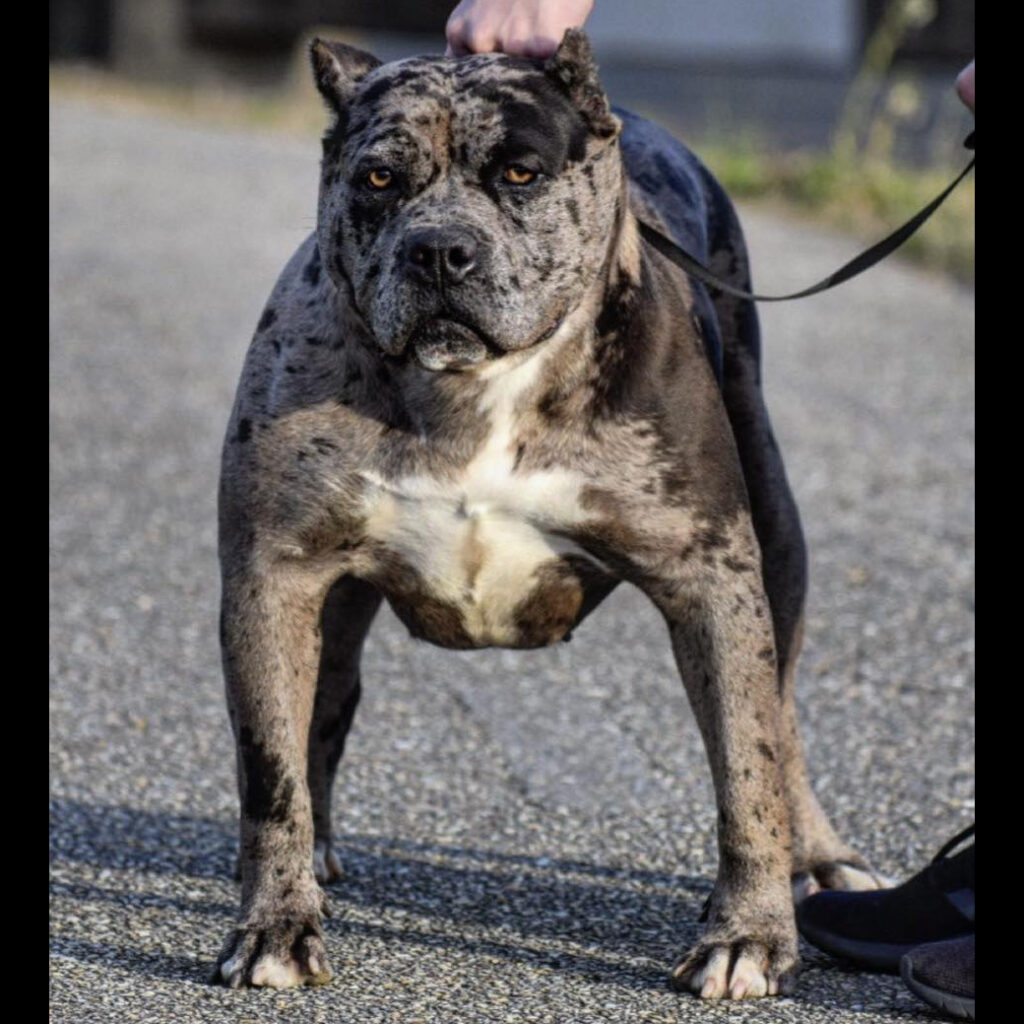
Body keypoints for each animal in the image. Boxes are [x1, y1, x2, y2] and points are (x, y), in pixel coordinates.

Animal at [214, 32, 880, 999]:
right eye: (377, 178)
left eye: (521, 173)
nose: (439, 250)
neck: (477, 387)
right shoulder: (272, 575)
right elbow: (271, 771)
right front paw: (274, 922)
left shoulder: (711, 581)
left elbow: (745, 767)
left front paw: (749, 935)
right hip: (328, 609)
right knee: (325, 708)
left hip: (777, 534)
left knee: (782, 715)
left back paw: (821, 861)